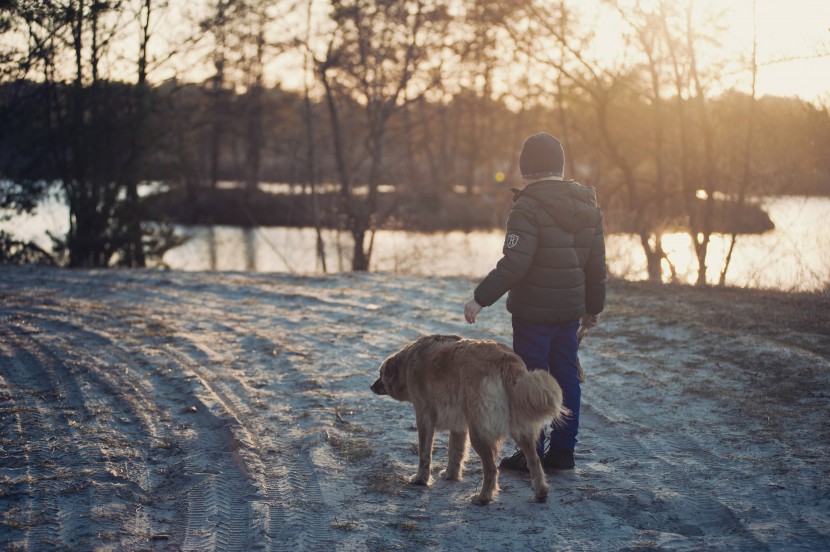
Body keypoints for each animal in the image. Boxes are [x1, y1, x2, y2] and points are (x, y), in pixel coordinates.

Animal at [370, 332, 564, 504]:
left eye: (380, 374)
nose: (371, 386)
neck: (409, 361)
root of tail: (505, 361)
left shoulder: (424, 416)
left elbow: (425, 453)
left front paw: (420, 479)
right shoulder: (459, 425)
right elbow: (455, 452)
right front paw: (451, 475)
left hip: (478, 432)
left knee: (491, 469)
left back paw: (483, 498)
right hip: (519, 430)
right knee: (535, 462)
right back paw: (540, 493)